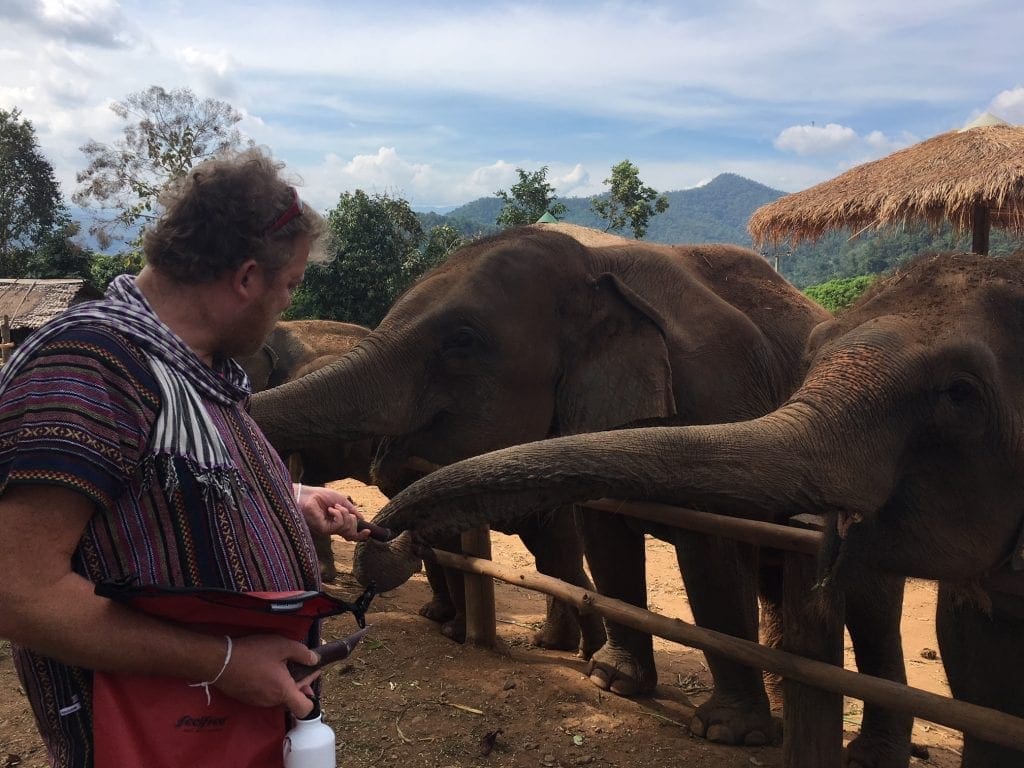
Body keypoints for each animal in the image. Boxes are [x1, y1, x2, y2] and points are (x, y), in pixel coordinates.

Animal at [354, 252, 1024, 768]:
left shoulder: (716, 394)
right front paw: (611, 681)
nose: (377, 540)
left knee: (867, 601)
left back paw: (863, 753)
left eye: (463, 343)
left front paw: (726, 733)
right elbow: (607, 539)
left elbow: (713, 555)